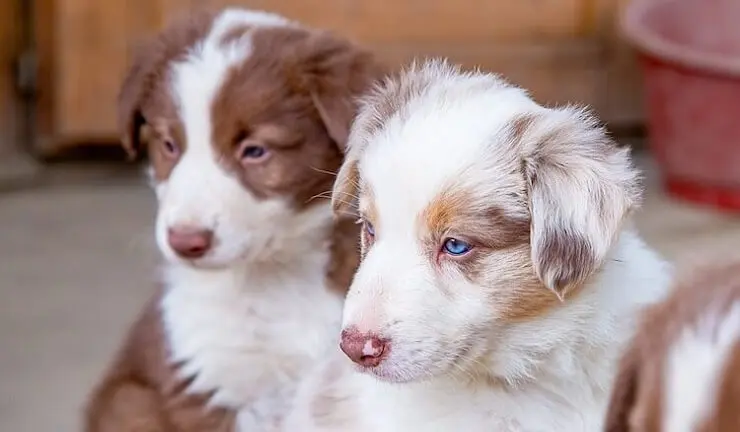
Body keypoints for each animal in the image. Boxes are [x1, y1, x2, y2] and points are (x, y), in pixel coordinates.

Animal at [84, 7, 384, 432]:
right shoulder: (204, 379)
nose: (186, 241)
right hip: (128, 401)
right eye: (169, 145)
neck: (270, 283)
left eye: (255, 151)